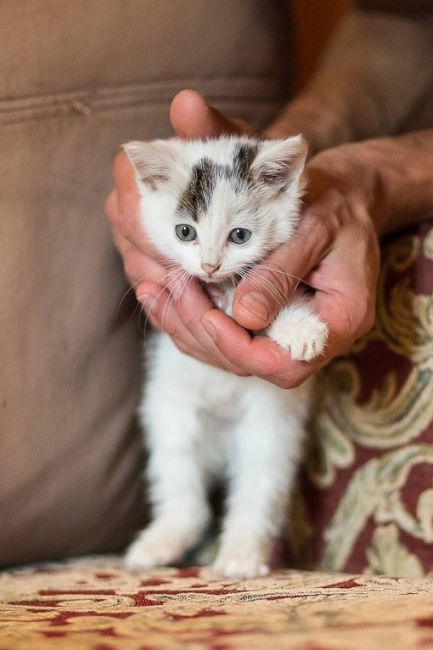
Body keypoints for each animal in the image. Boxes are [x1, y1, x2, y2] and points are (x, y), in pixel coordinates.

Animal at [122, 133, 328, 576]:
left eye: (240, 236)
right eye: (185, 232)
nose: (210, 265)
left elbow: (257, 306)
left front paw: (300, 330)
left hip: (269, 431)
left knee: (257, 486)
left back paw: (240, 556)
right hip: (170, 415)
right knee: (184, 488)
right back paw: (160, 543)